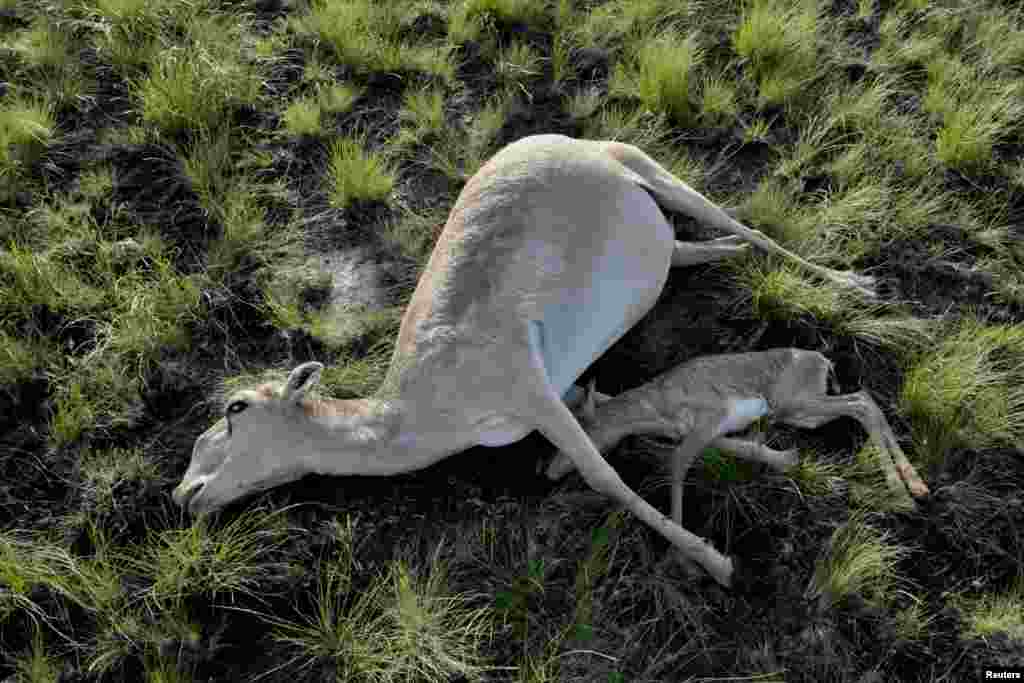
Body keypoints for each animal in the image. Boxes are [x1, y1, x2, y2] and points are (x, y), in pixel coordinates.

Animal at [176, 133, 880, 589]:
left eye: (236, 407)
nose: (186, 494)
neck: (423, 407)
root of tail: (552, 140)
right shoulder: (567, 394)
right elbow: (636, 423)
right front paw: (779, 459)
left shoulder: (534, 393)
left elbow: (604, 476)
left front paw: (716, 561)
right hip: (664, 233)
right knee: (710, 247)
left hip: (651, 169)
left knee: (749, 227)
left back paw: (856, 283)